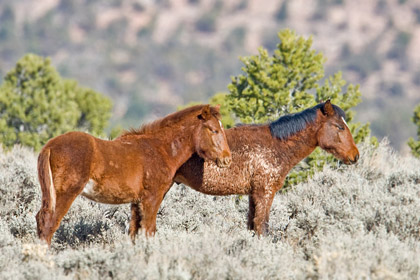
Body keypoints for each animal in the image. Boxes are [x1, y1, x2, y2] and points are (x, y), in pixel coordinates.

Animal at [35, 104, 233, 244]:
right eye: (214, 130)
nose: (227, 159)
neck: (161, 149)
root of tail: (49, 146)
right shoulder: (152, 198)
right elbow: (148, 231)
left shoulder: (137, 201)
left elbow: (134, 232)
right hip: (65, 193)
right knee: (49, 222)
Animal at [173, 100, 358, 234]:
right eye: (339, 127)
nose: (355, 155)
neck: (276, 146)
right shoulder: (265, 192)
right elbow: (262, 227)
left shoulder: (253, 194)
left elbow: (252, 226)